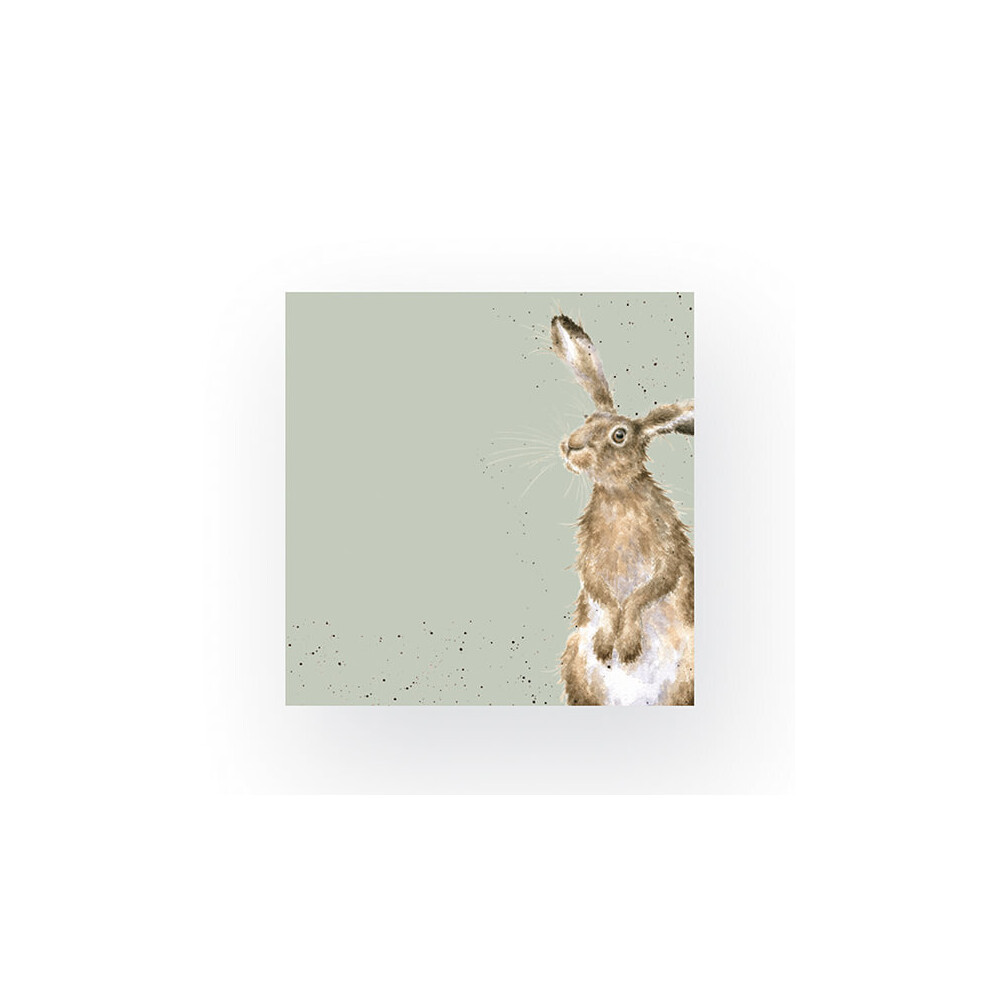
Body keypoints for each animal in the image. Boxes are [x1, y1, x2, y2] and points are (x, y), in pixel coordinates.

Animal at [550, 314, 695, 706]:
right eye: (587, 417)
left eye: (619, 435)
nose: (571, 446)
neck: (618, 495)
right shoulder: (589, 555)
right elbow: (598, 588)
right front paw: (608, 641)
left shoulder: (668, 546)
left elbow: (651, 588)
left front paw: (626, 644)